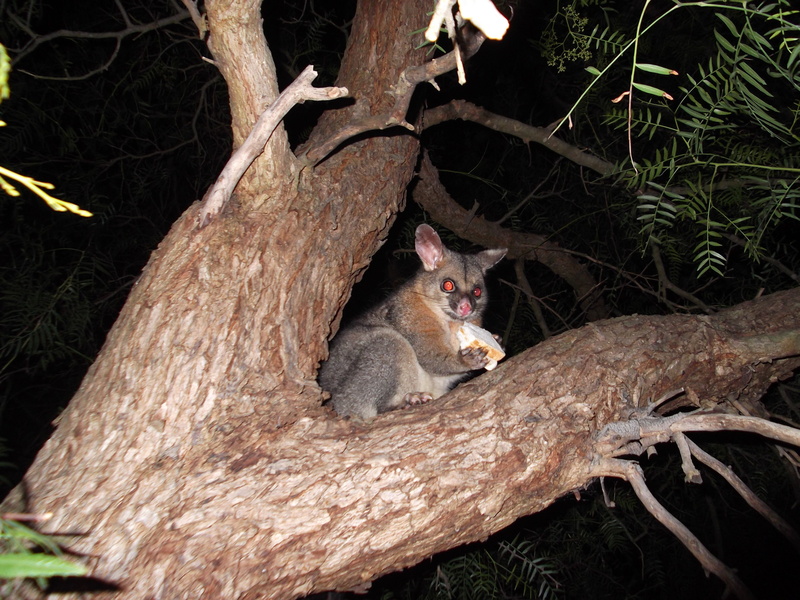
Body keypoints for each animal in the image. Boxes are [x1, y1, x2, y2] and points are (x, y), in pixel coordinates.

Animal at [319, 224, 507, 419]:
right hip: (351, 388)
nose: (466, 307)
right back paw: (404, 403)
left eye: (477, 292)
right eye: (448, 285)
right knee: (388, 344)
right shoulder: (411, 316)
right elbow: (430, 357)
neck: (450, 321)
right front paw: (467, 360)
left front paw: (497, 341)